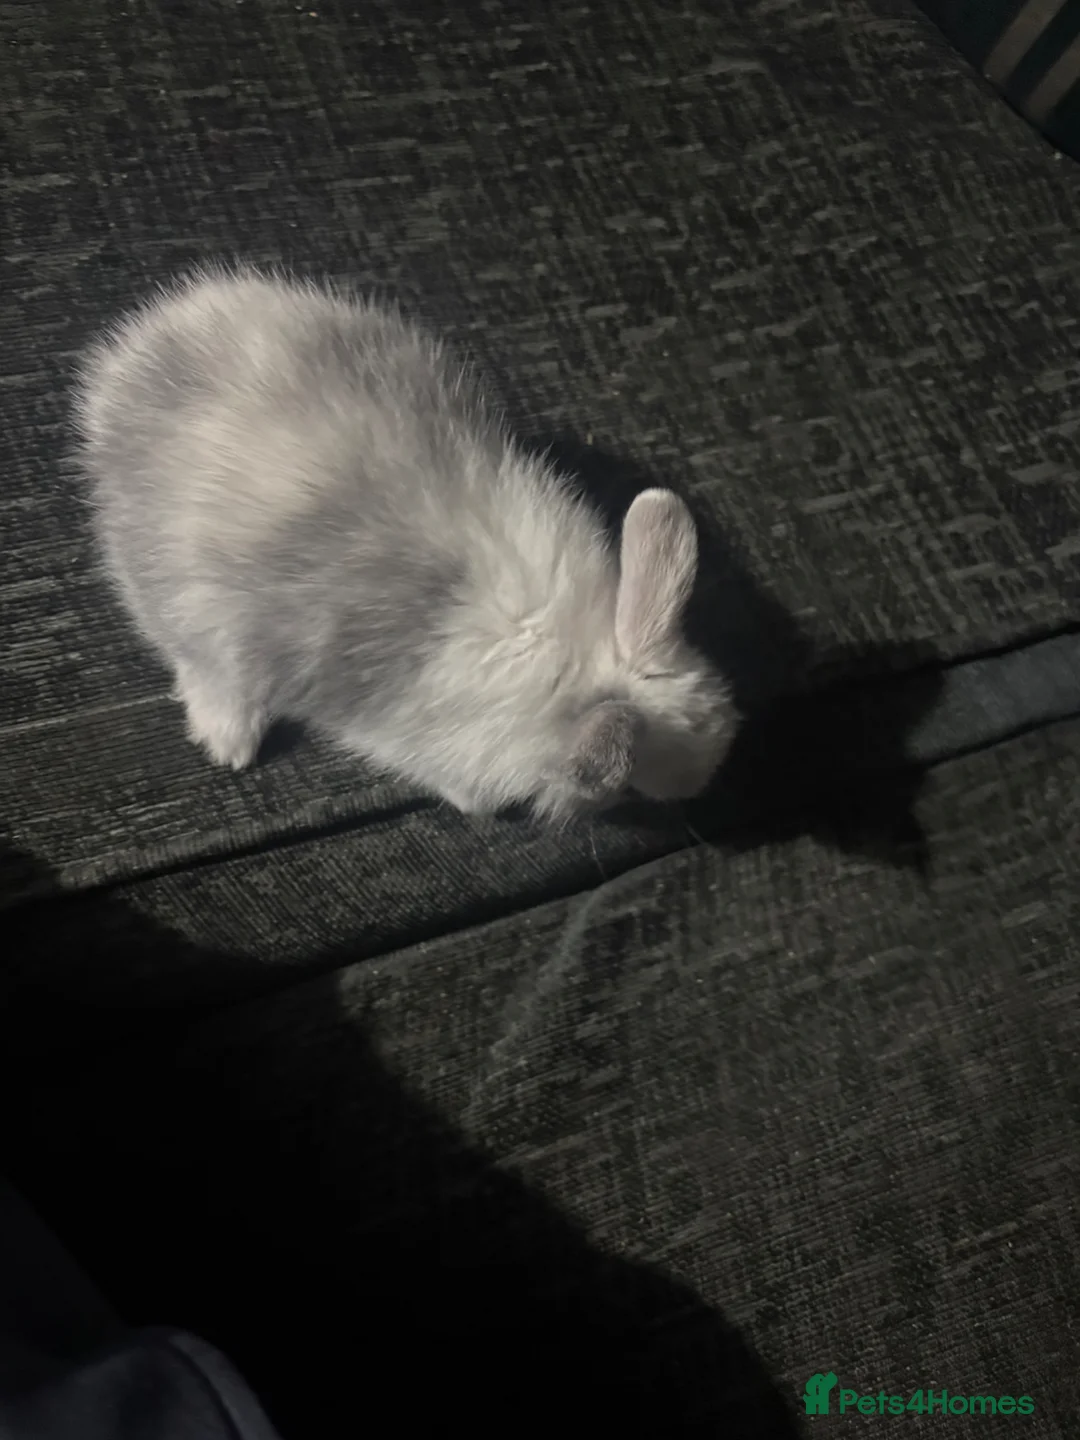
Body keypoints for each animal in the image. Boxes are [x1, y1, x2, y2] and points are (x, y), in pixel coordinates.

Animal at [73, 267, 737, 821]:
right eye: (627, 790)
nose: (702, 783)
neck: (573, 661)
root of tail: (123, 369)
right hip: (186, 607)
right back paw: (229, 743)